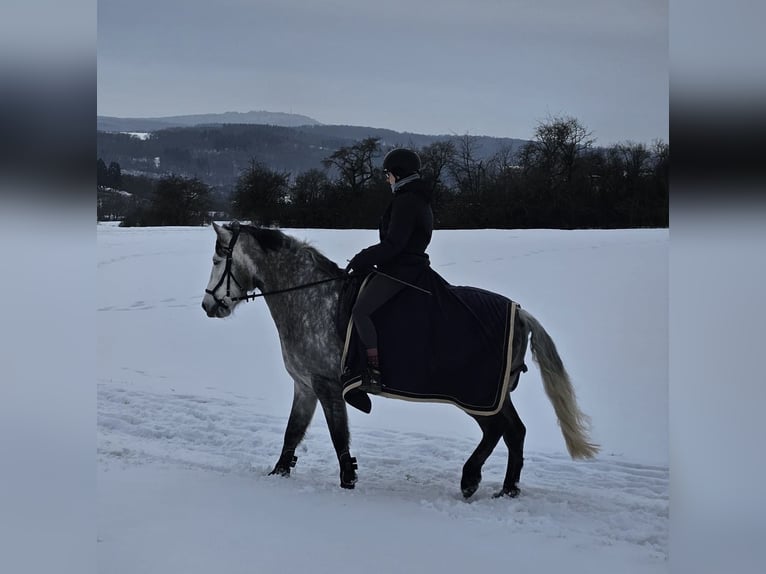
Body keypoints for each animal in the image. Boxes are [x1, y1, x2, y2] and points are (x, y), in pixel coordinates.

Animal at [201, 221, 599, 498]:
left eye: (218, 259)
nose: (208, 305)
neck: (310, 299)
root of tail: (521, 313)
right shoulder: (305, 385)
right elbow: (292, 433)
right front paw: (278, 475)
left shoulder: (327, 385)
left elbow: (338, 437)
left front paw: (348, 481)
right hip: (493, 395)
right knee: (515, 431)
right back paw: (507, 490)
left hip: (477, 394)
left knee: (498, 431)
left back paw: (470, 478)